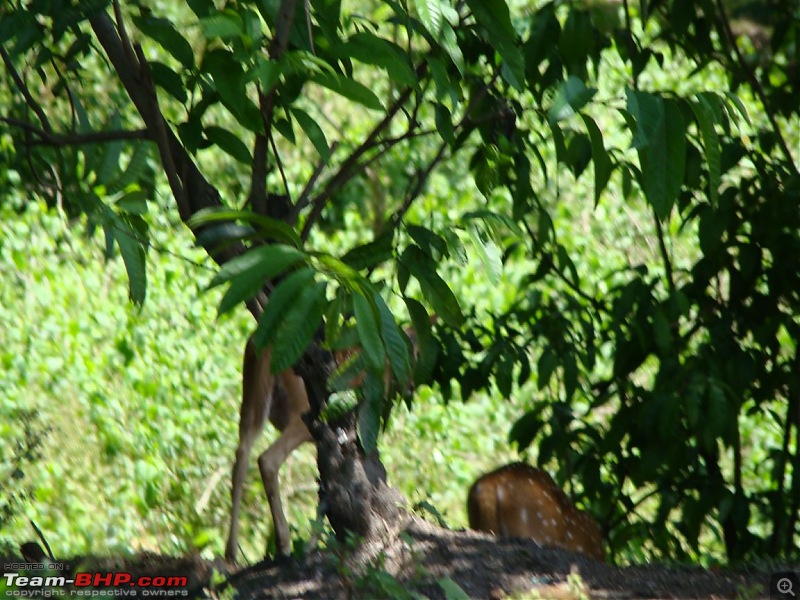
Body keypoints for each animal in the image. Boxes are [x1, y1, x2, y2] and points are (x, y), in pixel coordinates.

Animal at [225, 324, 424, 564]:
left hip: (251, 400)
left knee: (240, 458)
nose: (410, 386)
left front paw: (313, 544)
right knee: (267, 459)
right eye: (412, 354)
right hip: (303, 412)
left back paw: (231, 553)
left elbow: (324, 489)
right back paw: (283, 545)